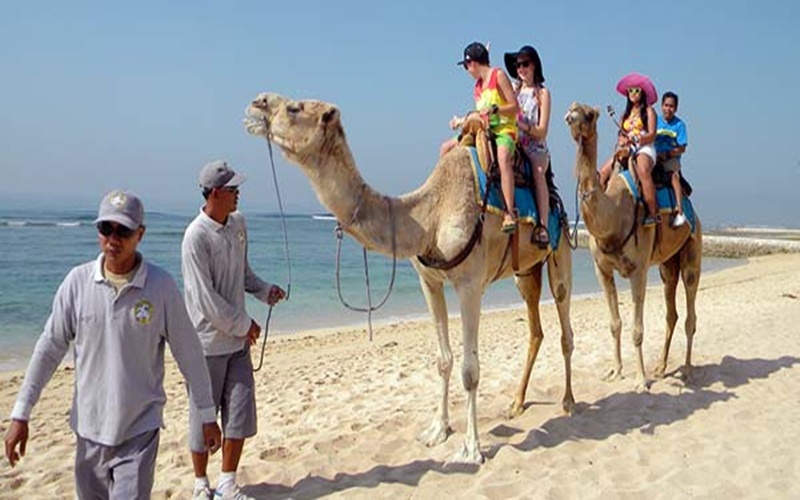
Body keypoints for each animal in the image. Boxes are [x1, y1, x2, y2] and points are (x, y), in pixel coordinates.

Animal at [245, 93, 576, 464]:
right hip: (525, 272)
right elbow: (443, 360)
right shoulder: (429, 282)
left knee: (564, 320)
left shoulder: (470, 285)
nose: (257, 103)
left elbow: (470, 370)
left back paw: (568, 402)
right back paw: (516, 404)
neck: (429, 216)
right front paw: (437, 431)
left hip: (560, 250)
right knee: (535, 329)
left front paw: (471, 448)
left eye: (294, 108)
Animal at [564, 102, 702, 390]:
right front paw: (615, 371)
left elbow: (637, 330)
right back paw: (661, 367)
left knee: (690, 314)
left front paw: (640, 380)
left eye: (589, 114)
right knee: (671, 312)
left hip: (693, 250)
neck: (614, 214)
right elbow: (614, 323)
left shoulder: (638, 270)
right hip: (667, 265)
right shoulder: (602, 270)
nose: (571, 116)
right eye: (572, 107)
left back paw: (686, 369)